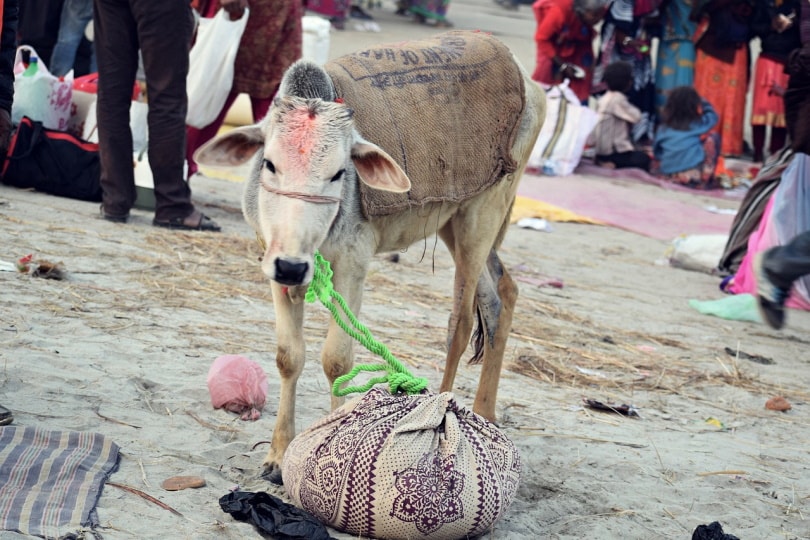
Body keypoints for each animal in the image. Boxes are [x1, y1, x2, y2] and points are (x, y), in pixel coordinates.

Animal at [195, 31, 548, 484]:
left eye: (339, 173)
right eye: (269, 164)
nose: (292, 266)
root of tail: (527, 79)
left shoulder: (352, 266)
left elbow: (336, 360)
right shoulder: (273, 263)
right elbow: (289, 357)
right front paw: (276, 456)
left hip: (481, 215)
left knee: (462, 320)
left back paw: (447, 414)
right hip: (455, 221)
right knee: (501, 293)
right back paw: (485, 413)